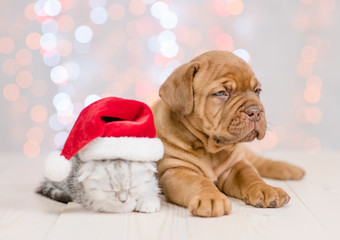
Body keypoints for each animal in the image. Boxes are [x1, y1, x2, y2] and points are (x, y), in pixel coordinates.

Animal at [151, 50, 306, 218]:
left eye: (256, 91)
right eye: (221, 93)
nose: (256, 112)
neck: (209, 150)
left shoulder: (236, 165)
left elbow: (250, 175)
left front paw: (266, 189)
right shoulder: (175, 170)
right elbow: (199, 181)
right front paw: (211, 197)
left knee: (260, 162)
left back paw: (290, 169)